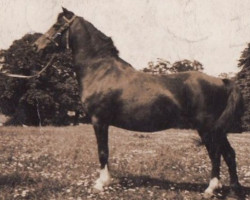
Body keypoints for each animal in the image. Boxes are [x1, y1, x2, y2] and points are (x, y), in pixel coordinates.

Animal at [33, 7, 242, 198]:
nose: (36, 46)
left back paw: (211, 189)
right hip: (217, 130)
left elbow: (103, 152)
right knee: (229, 154)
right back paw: (234, 189)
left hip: (207, 129)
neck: (101, 70)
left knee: (215, 154)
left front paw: (101, 183)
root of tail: (223, 81)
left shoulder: (99, 121)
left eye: (57, 25)